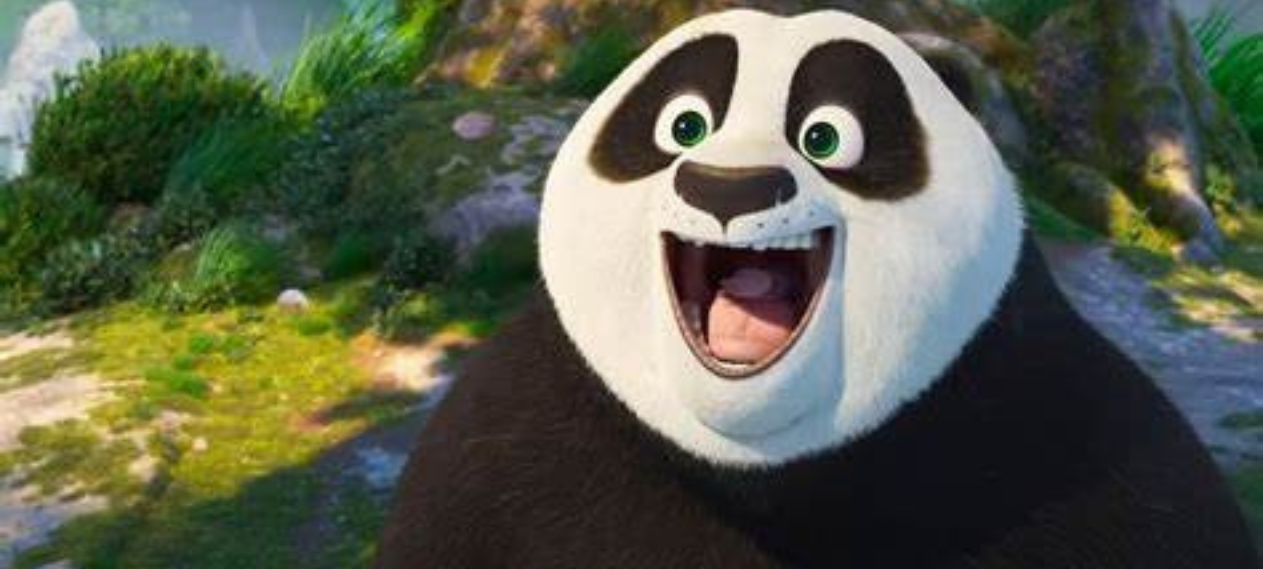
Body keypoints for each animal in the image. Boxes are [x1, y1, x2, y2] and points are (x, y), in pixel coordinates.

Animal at [376, 10, 1259, 569]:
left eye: (825, 136)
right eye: (683, 125)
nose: (727, 188)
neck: (757, 463)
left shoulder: (1070, 431)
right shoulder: (494, 451)